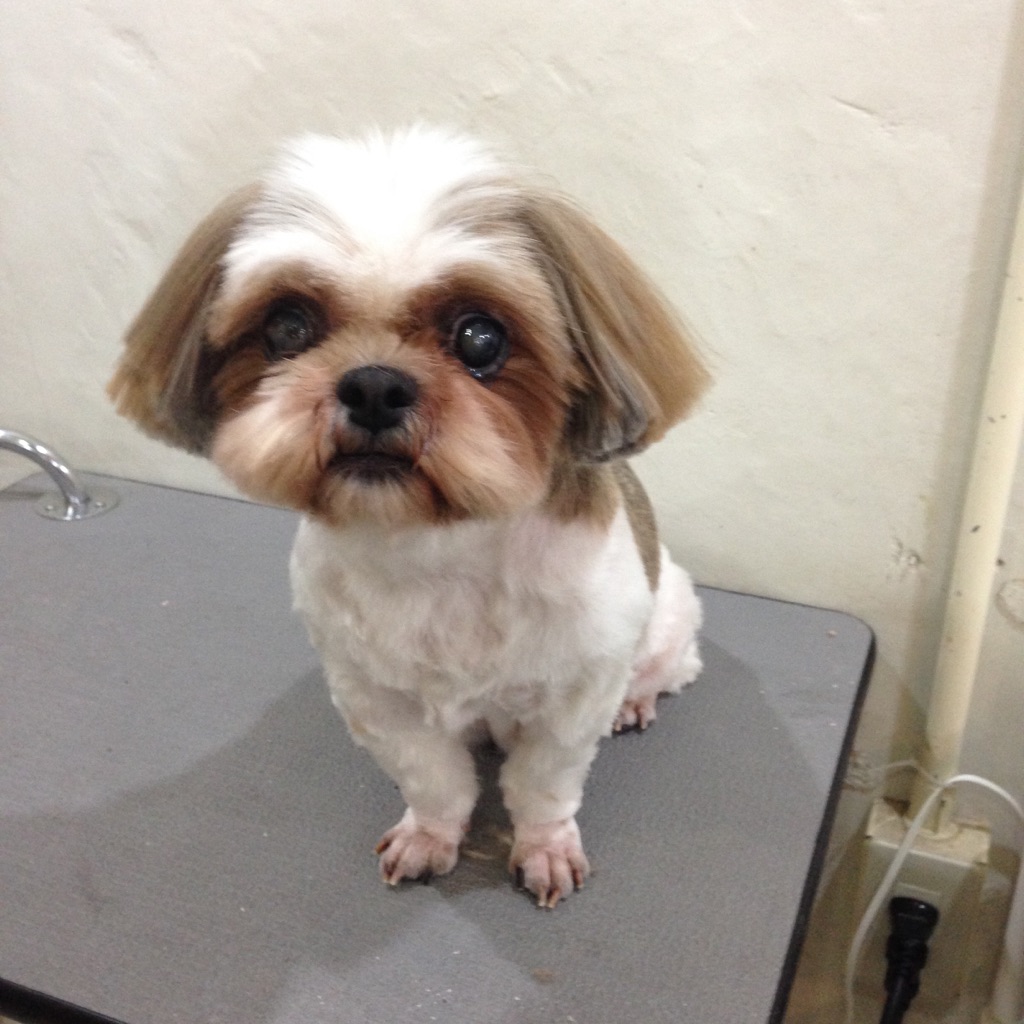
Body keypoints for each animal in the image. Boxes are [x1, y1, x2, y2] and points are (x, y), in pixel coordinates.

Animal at [108, 126, 709, 907]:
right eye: (288, 326)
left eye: (480, 338)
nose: (373, 386)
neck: (439, 547)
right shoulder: (372, 694)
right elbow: (432, 777)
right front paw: (430, 836)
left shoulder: (573, 697)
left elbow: (545, 785)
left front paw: (545, 848)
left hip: (669, 615)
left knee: (666, 666)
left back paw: (637, 702)